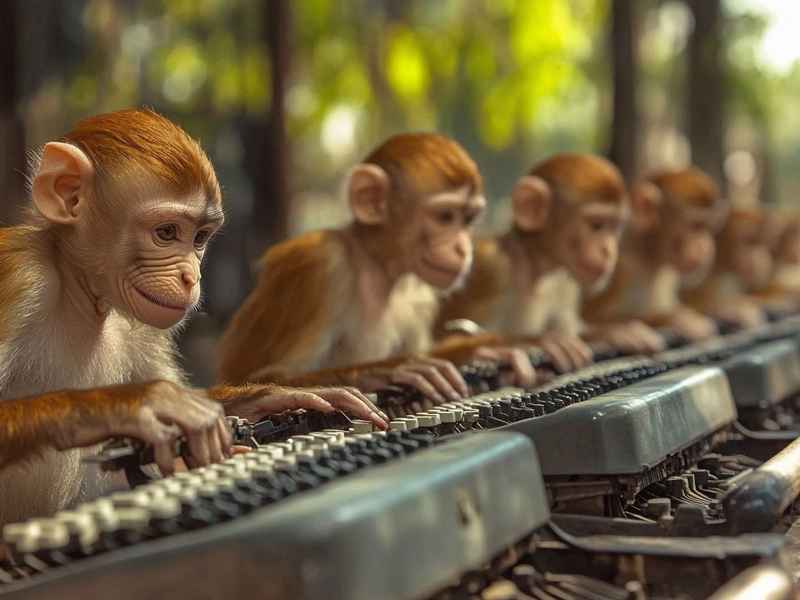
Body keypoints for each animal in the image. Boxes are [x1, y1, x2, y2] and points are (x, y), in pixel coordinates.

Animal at [0, 108, 385, 527]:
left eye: (199, 238)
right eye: (166, 232)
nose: (191, 276)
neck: (83, 293)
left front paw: (270, 397)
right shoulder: (21, 277)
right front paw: (138, 402)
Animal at [217, 132, 535, 401]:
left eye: (467, 219)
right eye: (445, 217)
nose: (462, 247)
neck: (376, 265)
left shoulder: (419, 298)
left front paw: (475, 350)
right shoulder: (321, 264)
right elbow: (269, 375)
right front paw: (386, 370)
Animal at [436, 153, 662, 374]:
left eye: (614, 227)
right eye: (596, 225)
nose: (608, 250)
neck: (530, 266)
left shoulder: (563, 285)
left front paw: (612, 332)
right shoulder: (491, 267)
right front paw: (540, 342)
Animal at [583, 167, 728, 342]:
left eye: (709, 227)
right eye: (696, 226)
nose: (705, 246)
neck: (646, 252)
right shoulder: (622, 269)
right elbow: (589, 319)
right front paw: (675, 317)